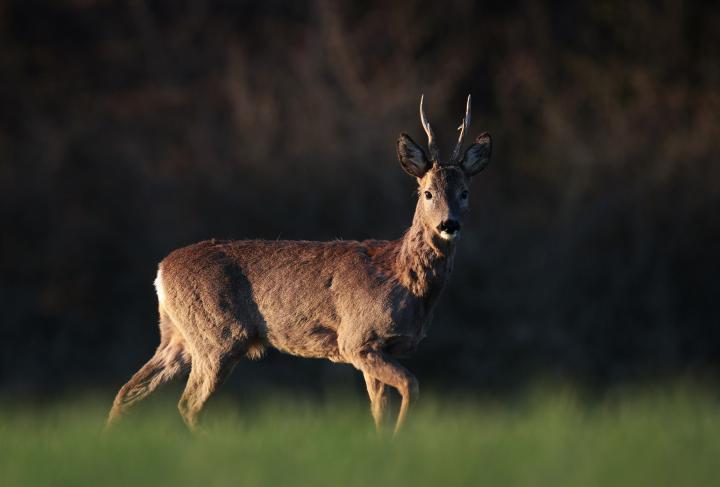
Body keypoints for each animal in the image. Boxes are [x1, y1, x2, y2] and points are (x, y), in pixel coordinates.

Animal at [105, 95, 490, 434]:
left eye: (465, 192)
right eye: (427, 192)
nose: (449, 224)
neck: (403, 278)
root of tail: (161, 272)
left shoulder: (377, 349)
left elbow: (379, 410)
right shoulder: (357, 338)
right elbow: (411, 386)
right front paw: (398, 439)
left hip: (178, 336)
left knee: (128, 391)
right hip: (218, 337)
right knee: (187, 404)